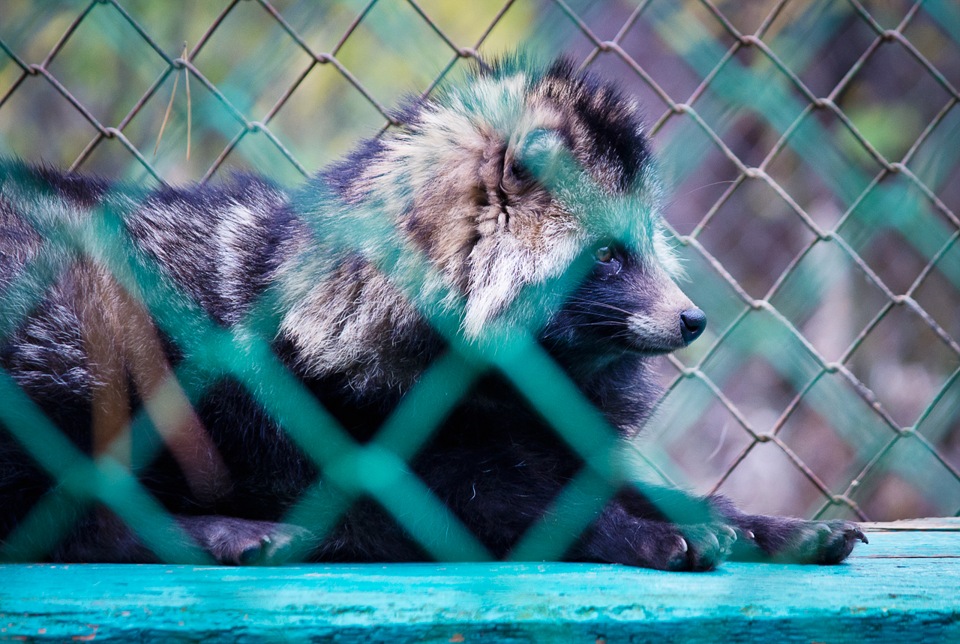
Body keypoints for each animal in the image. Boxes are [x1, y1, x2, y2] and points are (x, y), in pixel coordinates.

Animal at [0, 55, 868, 568]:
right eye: (609, 258)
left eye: (646, 247)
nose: (694, 322)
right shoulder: (377, 459)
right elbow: (526, 510)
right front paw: (644, 532)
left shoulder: (545, 439)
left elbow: (613, 483)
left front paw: (750, 520)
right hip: (81, 333)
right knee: (56, 517)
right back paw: (197, 531)